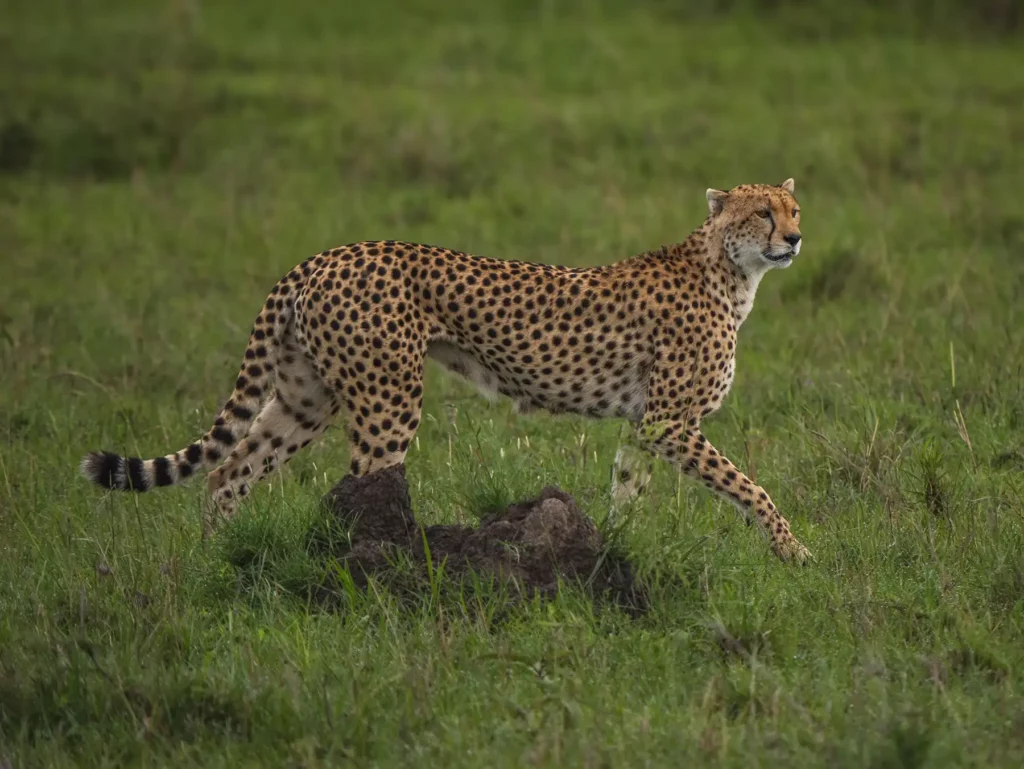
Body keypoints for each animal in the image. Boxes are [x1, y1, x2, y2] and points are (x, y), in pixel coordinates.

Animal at [81, 178, 811, 563]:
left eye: (794, 208)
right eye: (761, 212)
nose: (796, 238)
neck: (729, 271)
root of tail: (325, 254)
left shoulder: (645, 426)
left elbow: (627, 491)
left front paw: (611, 551)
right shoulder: (670, 422)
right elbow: (750, 487)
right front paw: (795, 553)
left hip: (305, 397)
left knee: (230, 469)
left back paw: (215, 556)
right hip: (387, 399)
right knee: (359, 488)